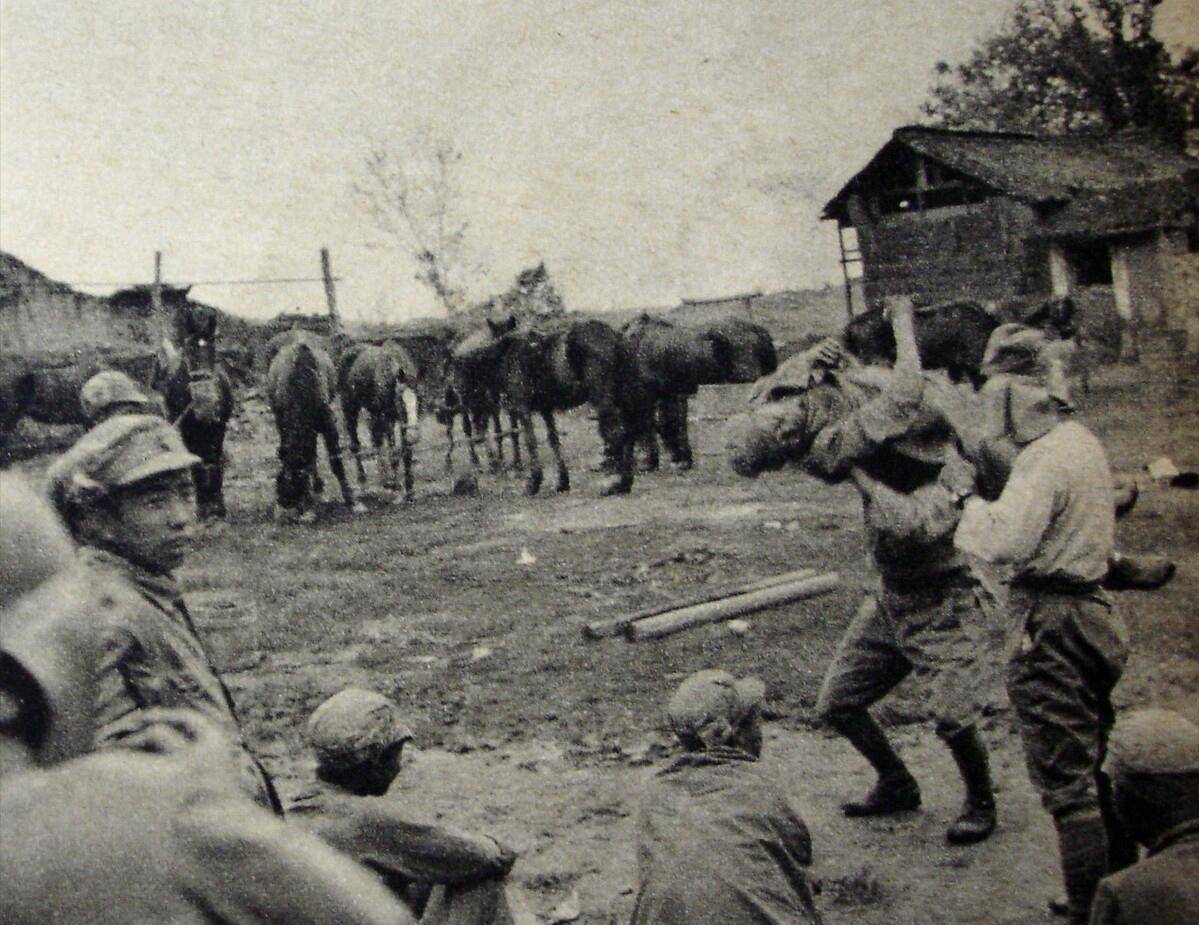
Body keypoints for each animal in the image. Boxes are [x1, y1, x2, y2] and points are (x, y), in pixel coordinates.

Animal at [152, 303, 236, 520]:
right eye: (189, 350)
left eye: (213, 349)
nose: (206, 404)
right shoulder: (187, 431)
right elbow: (196, 463)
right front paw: (203, 507)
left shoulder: (218, 428)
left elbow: (215, 461)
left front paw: (217, 506)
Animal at [268, 333, 364, 525]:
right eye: (279, 484)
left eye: (294, 488)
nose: (281, 515)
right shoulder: (284, 419)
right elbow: (307, 455)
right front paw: (309, 506)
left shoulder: (328, 422)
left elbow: (335, 461)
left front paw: (351, 500)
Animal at [338, 338, 422, 499]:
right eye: (401, 401)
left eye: (419, 400)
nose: (414, 435)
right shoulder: (388, 419)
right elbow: (393, 451)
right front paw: (395, 485)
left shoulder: (401, 422)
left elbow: (405, 452)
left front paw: (409, 488)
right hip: (350, 409)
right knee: (356, 444)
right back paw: (364, 481)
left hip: (373, 413)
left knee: (376, 440)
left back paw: (383, 479)